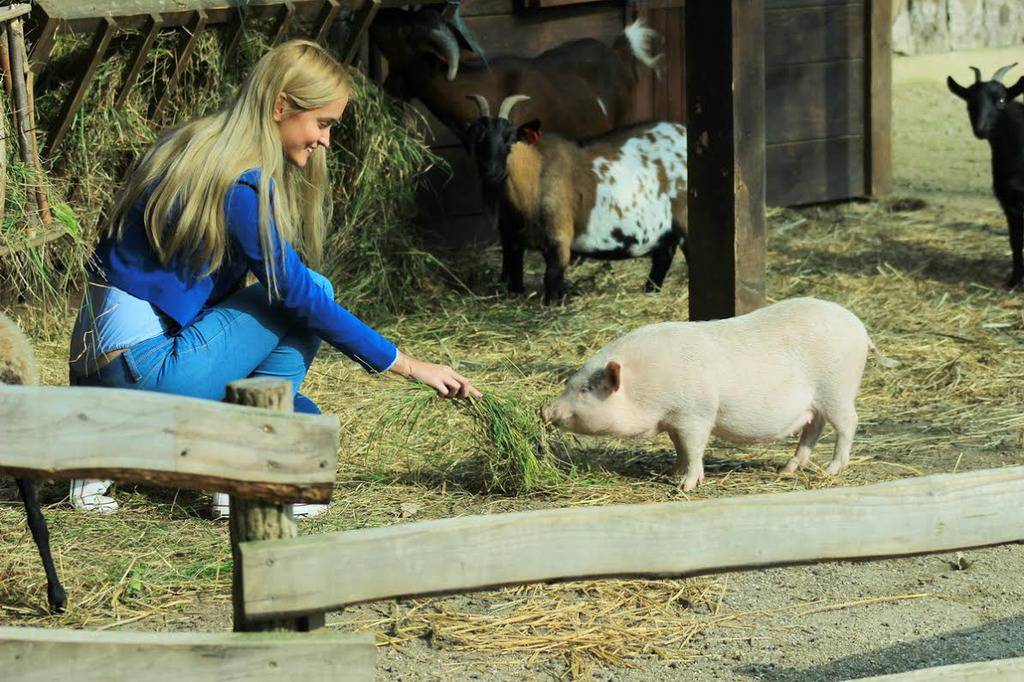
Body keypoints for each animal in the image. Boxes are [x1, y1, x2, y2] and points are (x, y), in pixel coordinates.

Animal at [464, 93, 688, 303]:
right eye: (478, 139)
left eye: (510, 140)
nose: (491, 171)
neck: (535, 176)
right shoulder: (513, 241)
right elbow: (516, 279)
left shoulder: (559, 238)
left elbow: (552, 280)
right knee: (664, 257)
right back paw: (651, 291)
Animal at [540, 296, 892, 489]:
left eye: (586, 388)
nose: (544, 410)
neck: (646, 381)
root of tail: (861, 329)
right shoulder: (675, 420)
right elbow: (679, 448)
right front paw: (672, 472)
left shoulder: (695, 413)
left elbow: (695, 448)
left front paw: (686, 486)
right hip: (816, 402)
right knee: (813, 428)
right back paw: (786, 470)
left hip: (838, 389)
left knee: (848, 424)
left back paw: (831, 470)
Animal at [942, 61, 1024, 286]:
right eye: (970, 102)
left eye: (1002, 100)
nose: (981, 129)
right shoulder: (1009, 203)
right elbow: (1015, 242)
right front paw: (1014, 281)